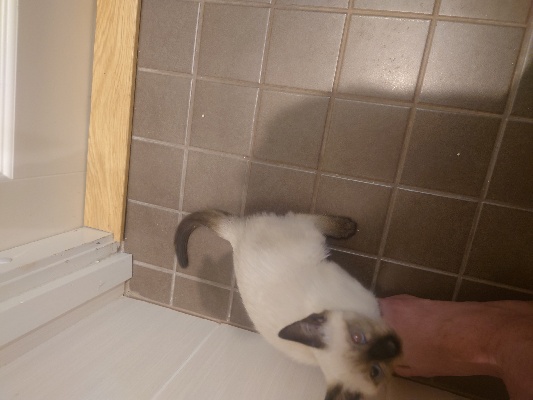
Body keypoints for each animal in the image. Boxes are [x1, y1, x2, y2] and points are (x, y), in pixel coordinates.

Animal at [175, 210, 401, 400]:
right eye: (375, 371)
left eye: (358, 337)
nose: (392, 346)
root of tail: (237, 235)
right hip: (307, 236)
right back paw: (346, 227)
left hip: (305, 233)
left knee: (310, 217)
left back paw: (346, 226)